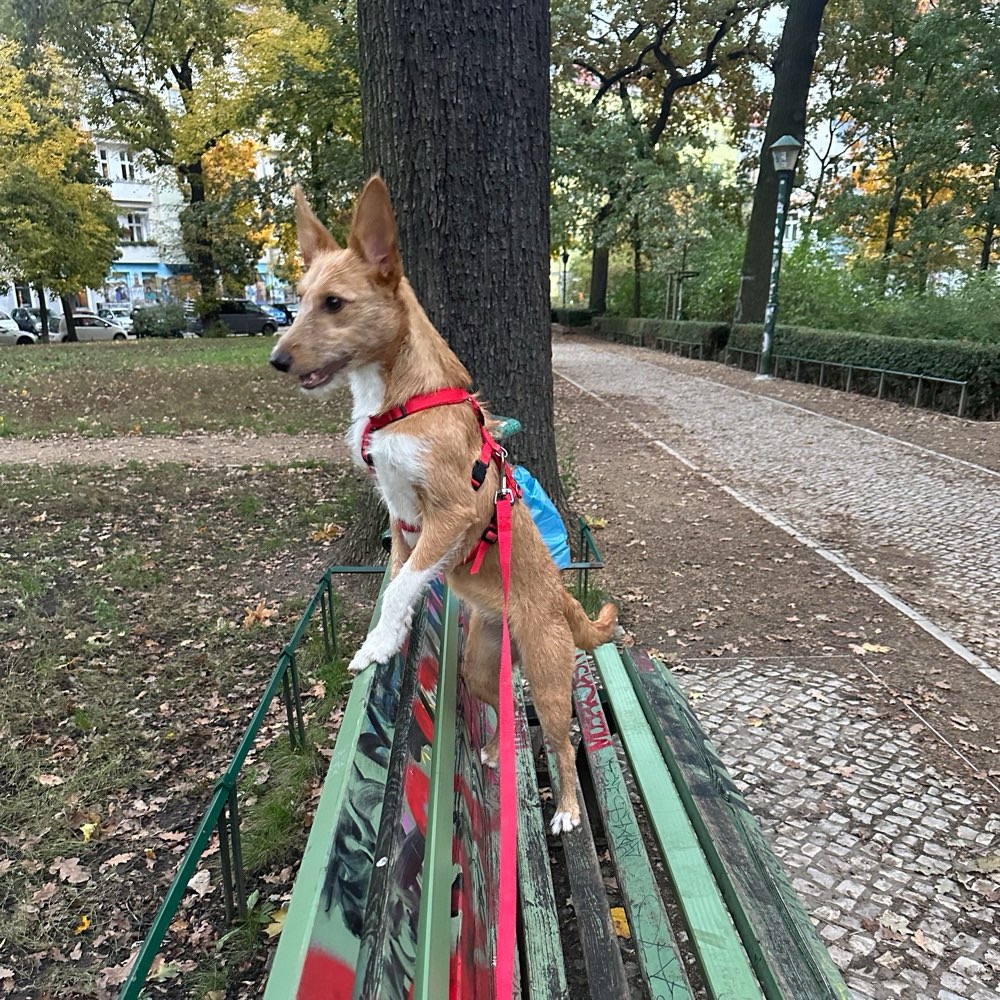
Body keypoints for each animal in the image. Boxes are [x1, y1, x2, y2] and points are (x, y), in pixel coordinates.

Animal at [274, 176, 616, 832]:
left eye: (334, 303)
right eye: (296, 301)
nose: (276, 361)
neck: (398, 398)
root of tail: (563, 598)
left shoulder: (452, 515)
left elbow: (405, 584)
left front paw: (377, 644)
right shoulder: (401, 520)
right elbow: (396, 580)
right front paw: (392, 635)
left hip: (550, 680)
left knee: (561, 741)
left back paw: (565, 809)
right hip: (481, 666)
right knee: (505, 713)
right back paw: (490, 751)